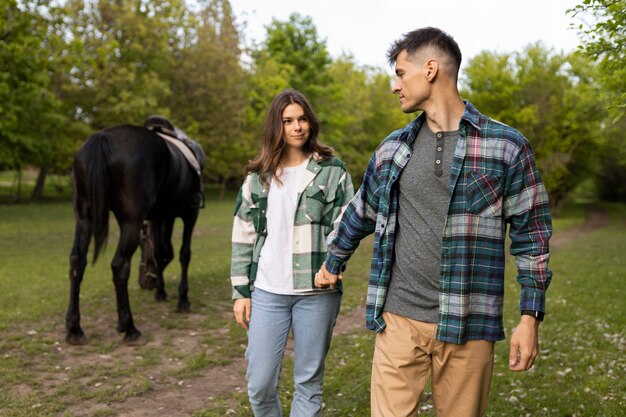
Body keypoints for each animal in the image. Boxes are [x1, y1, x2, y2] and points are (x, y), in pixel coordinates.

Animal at [67, 116, 206, 344]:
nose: (144, 282)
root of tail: (102, 137)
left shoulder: (161, 216)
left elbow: (161, 252)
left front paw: (160, 291)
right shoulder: (189, 214)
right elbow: (183, 254)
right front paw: (183, 299)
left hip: (85, 218)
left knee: (77, 262)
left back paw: (74, 328)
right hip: (130, 222)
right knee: (120, 265)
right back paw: (129, 327)